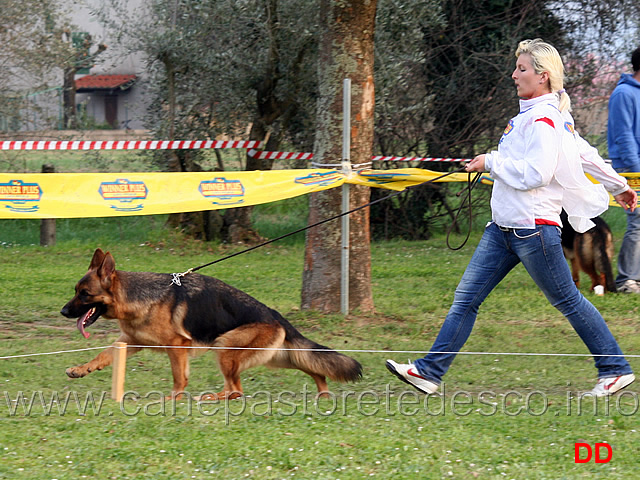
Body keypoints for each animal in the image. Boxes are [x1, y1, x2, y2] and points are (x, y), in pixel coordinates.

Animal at [60, 249, 362, 400]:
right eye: (75, 291)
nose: (63, 311)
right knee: (311, 366)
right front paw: (81, 369)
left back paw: (211, 397)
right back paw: (322, 391)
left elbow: (179, 378)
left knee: (237, 391)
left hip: (226, 347)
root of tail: (274, 314)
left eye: (84, 294)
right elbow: (103, 355)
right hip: (275, 356)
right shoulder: (130, 342)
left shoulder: (177, 346)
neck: (137, 296)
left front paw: (172, 399)